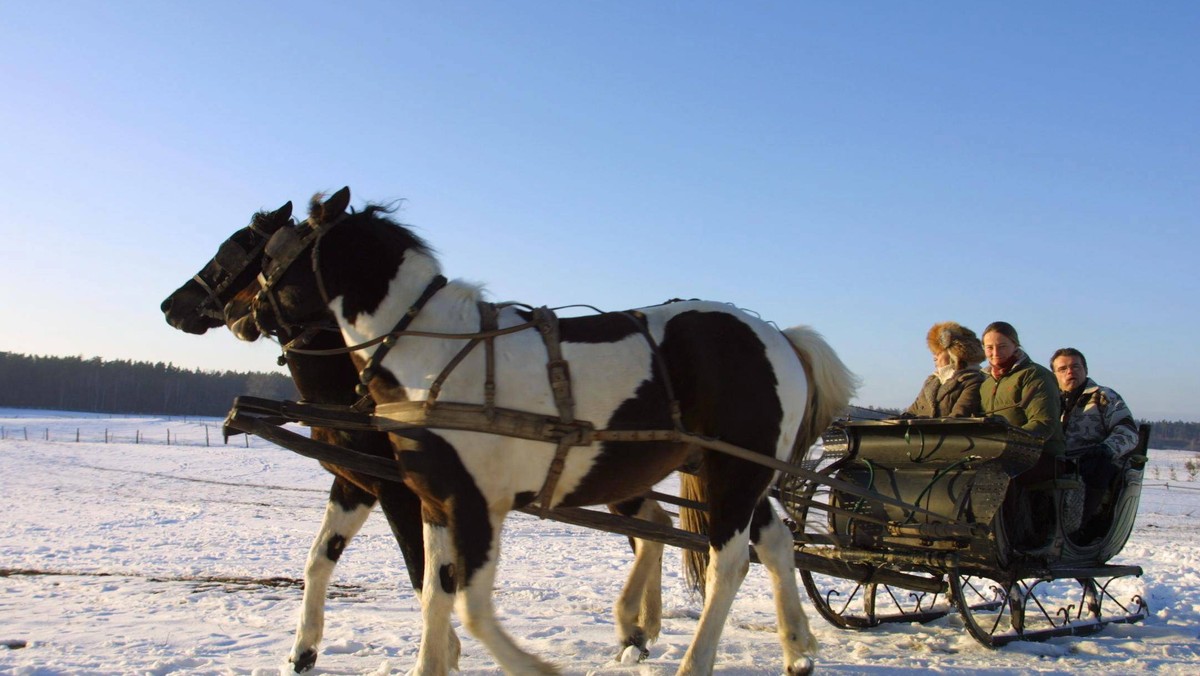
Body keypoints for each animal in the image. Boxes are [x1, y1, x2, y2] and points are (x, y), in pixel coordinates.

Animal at [238, 190, 859, 676]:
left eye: (265, 254)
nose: (246, 317)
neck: (432, 353)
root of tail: (778, 335)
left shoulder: (476, 502)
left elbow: (470, 607)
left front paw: (534, 665)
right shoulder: (434, 500)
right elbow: (437, 594)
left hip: (736, 471)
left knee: (728, 564)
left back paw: (693, 660)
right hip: (736, 471)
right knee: (775, 544)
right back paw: (798, 650)